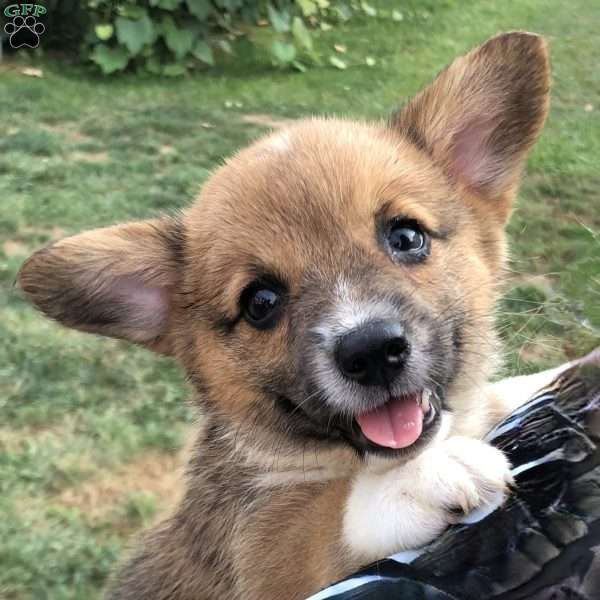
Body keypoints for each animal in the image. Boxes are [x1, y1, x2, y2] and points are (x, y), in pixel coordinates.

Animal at [17, 31, 552, 600]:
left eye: (407, 237)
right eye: (260, 303)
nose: (371, 352)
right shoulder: (262, 547)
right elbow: (327, 521)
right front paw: (422, 478)